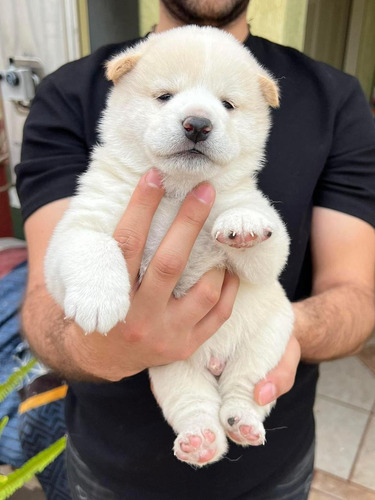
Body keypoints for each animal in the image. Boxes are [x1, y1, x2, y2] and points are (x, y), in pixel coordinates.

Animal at [45, 26, 296, 464]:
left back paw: (243, 423)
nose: (198, 123)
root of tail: (214, 362)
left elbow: (266, 238)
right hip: (171, 367)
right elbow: (90, 243)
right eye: (165, 96)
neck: (177, 192)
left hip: (268, 339)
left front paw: (243, 225)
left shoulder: (263, 249)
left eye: (227, 105)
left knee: (247, 388)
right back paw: (201, 441)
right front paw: (99, 300)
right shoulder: (83, 221)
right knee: (194, 405)